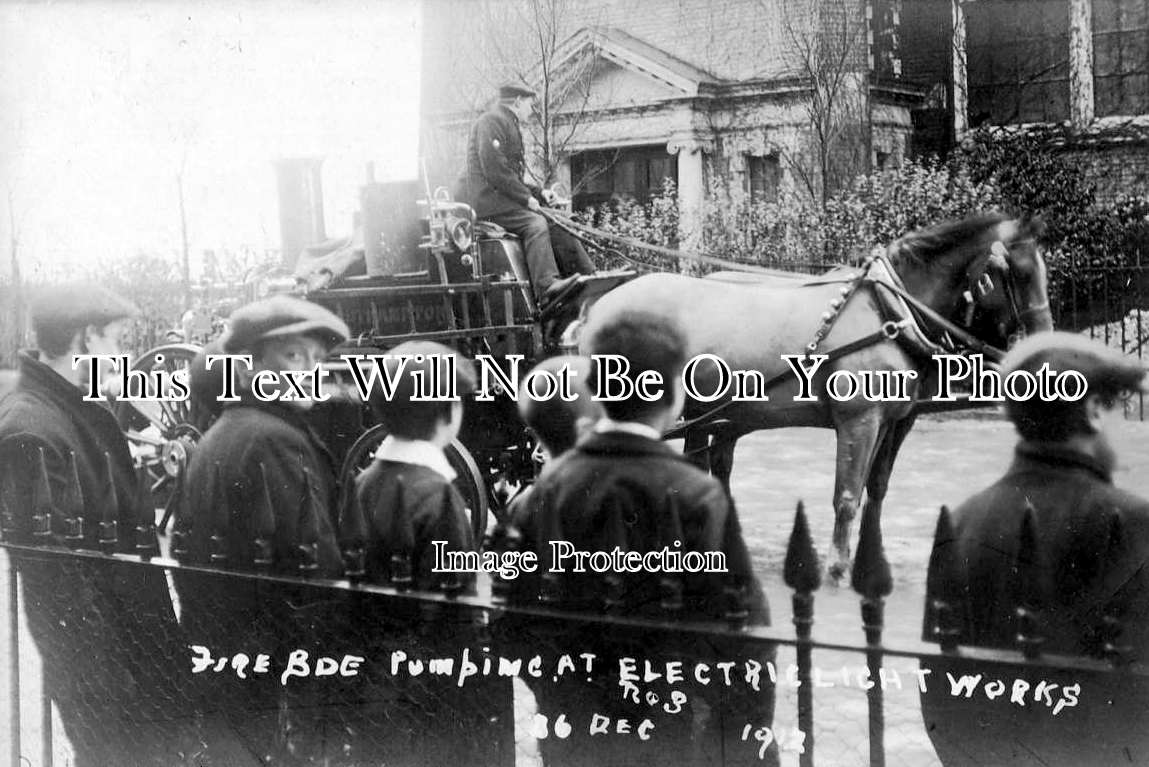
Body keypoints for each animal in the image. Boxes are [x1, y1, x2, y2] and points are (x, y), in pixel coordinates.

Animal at [583, 212, 1052, 578]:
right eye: (1020, 273)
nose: (1046, 339)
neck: (889, 312)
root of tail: (601, 304)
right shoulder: (859, 420)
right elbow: (847, 496)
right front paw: (838, 567)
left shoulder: (893, 420)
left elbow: (876, 489)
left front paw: (870, 560)